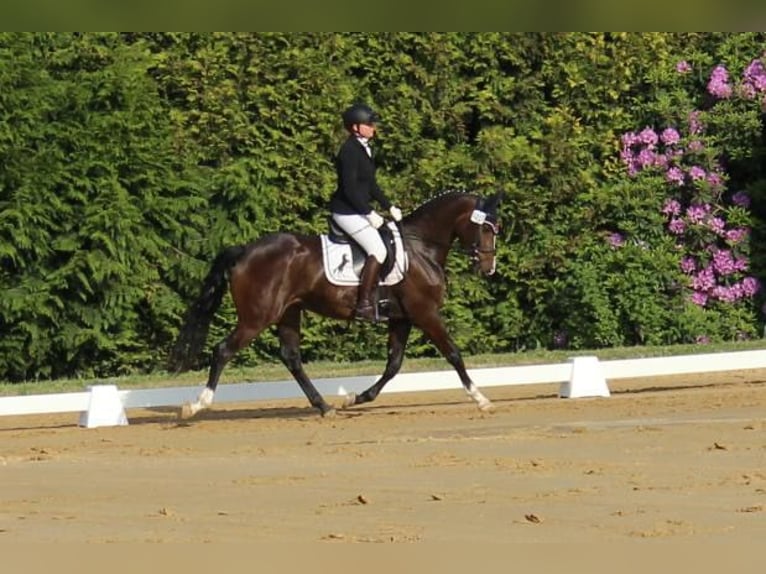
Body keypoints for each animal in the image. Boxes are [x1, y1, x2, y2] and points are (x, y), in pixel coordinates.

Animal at [168, 191, 504, 420]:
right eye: (486, 228)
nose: (488, 267)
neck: (420, 248)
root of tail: (245, 250)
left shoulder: (402, 318)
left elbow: (393, 364)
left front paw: (355, 398)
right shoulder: (425, 313)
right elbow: (453, 354)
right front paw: (481, 398)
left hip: (288, 312)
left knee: (291, 357)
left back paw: (324, 406)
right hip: (257, 317)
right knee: (223, 350)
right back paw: (196, 405)